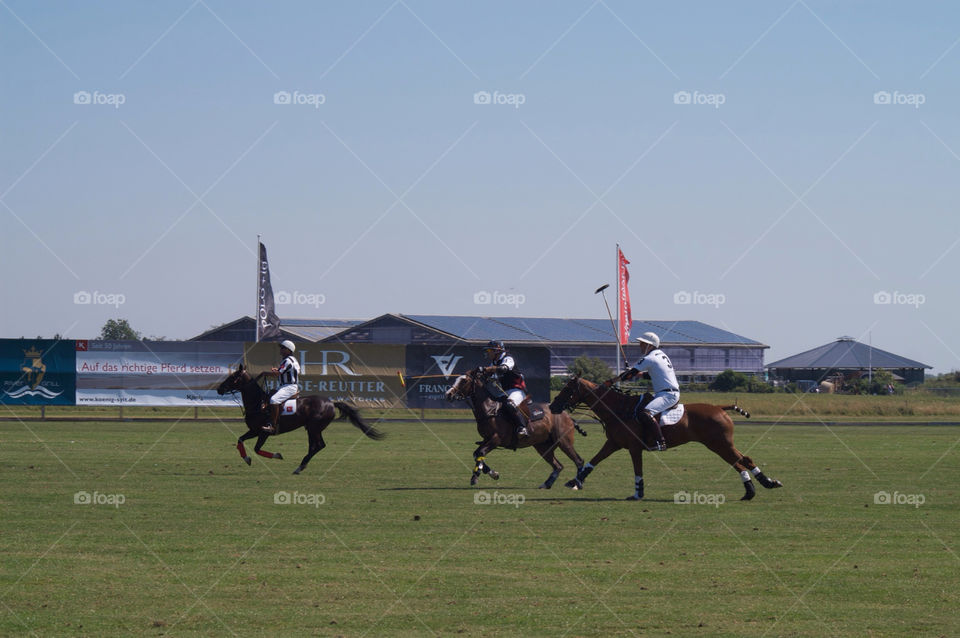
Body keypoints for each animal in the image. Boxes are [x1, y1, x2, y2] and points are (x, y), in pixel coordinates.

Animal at [216, 364, 384, 474]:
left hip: (314, 428)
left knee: (319, 445)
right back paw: (301, 466)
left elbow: (257, 449)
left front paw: (277, 455)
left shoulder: (264, 432)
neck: (258, 403)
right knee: (315, 446)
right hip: (312, 428)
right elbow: (240, 440)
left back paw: (299, 467)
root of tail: (331, 403)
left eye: (233, 377)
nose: (219, 389)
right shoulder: (254, 430)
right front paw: (246, 458)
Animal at [445, 369, 587, 488]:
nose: (448, 394)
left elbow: (480, 453)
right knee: (558, 466)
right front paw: (493, 474)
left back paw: (577, 484)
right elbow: (476, 454)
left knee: (579, 461)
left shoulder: (496, 439)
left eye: (464, 381)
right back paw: (547, 484)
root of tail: (567, 415)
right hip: (543, 446)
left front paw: (476, 476)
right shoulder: (486, 439)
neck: (490, 410)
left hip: (563, 441)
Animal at [548, 376, 782, 501]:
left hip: (718, 444)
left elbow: (637, 470)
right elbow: (594, 460)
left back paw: (756, 488)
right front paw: (575, 481)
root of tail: (719, 407)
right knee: (744, 460)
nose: (552, 406)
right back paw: (763, 485)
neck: (619, 409)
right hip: (721, 443)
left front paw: (638, 493)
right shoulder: (614, 443)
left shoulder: (633, 446)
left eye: (568, 389)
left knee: (740, 462)